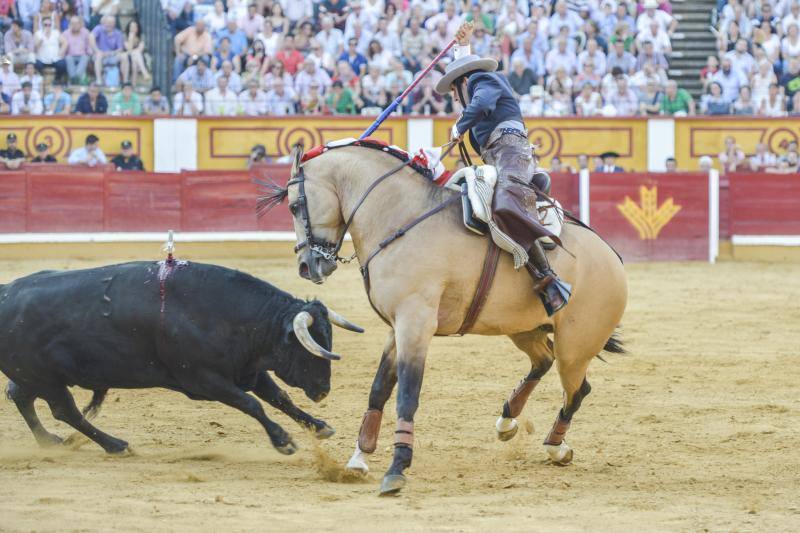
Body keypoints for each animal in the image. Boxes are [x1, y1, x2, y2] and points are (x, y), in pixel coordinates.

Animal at [0, 260, 360, 456]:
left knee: (21, 396)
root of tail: (5, 293)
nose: (323, 391)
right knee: (65, 411)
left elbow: (279, 397)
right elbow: (251, 404)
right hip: (45, 378)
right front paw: (283, 440)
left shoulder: (246, 369)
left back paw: (49, 440)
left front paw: (320, 427)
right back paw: (116, 445)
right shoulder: (205, 379)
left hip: (34, 376)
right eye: (308, 348)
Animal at [266, 142, 628, 494]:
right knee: (544, 362)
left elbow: (407, 394)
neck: (398, 217)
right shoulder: (397, 327)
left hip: (575, 347)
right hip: (523, 329)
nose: (307, 266)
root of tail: (611, 257)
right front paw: (359, 458)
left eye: (294, 206)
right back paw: (508, 422)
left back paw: (555, 446)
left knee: (576, 389)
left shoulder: (416, 324)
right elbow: (379, 389)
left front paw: (396, 469)